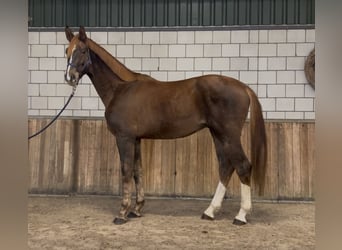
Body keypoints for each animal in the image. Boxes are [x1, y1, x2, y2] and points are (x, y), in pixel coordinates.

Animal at [65, 26, 268, 226]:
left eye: (82, 50)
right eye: (67, 51)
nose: (70, 77)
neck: (120, 88)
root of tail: (243, 87)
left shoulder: (124, 138)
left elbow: (126, 170)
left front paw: (122, 213)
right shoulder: (136, 139)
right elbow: (138, 171)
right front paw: (137, 209)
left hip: (229, 135)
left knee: (243, 166)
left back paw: (241, 216)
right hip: (218, 134)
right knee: (226, 166)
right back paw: (210, 211)